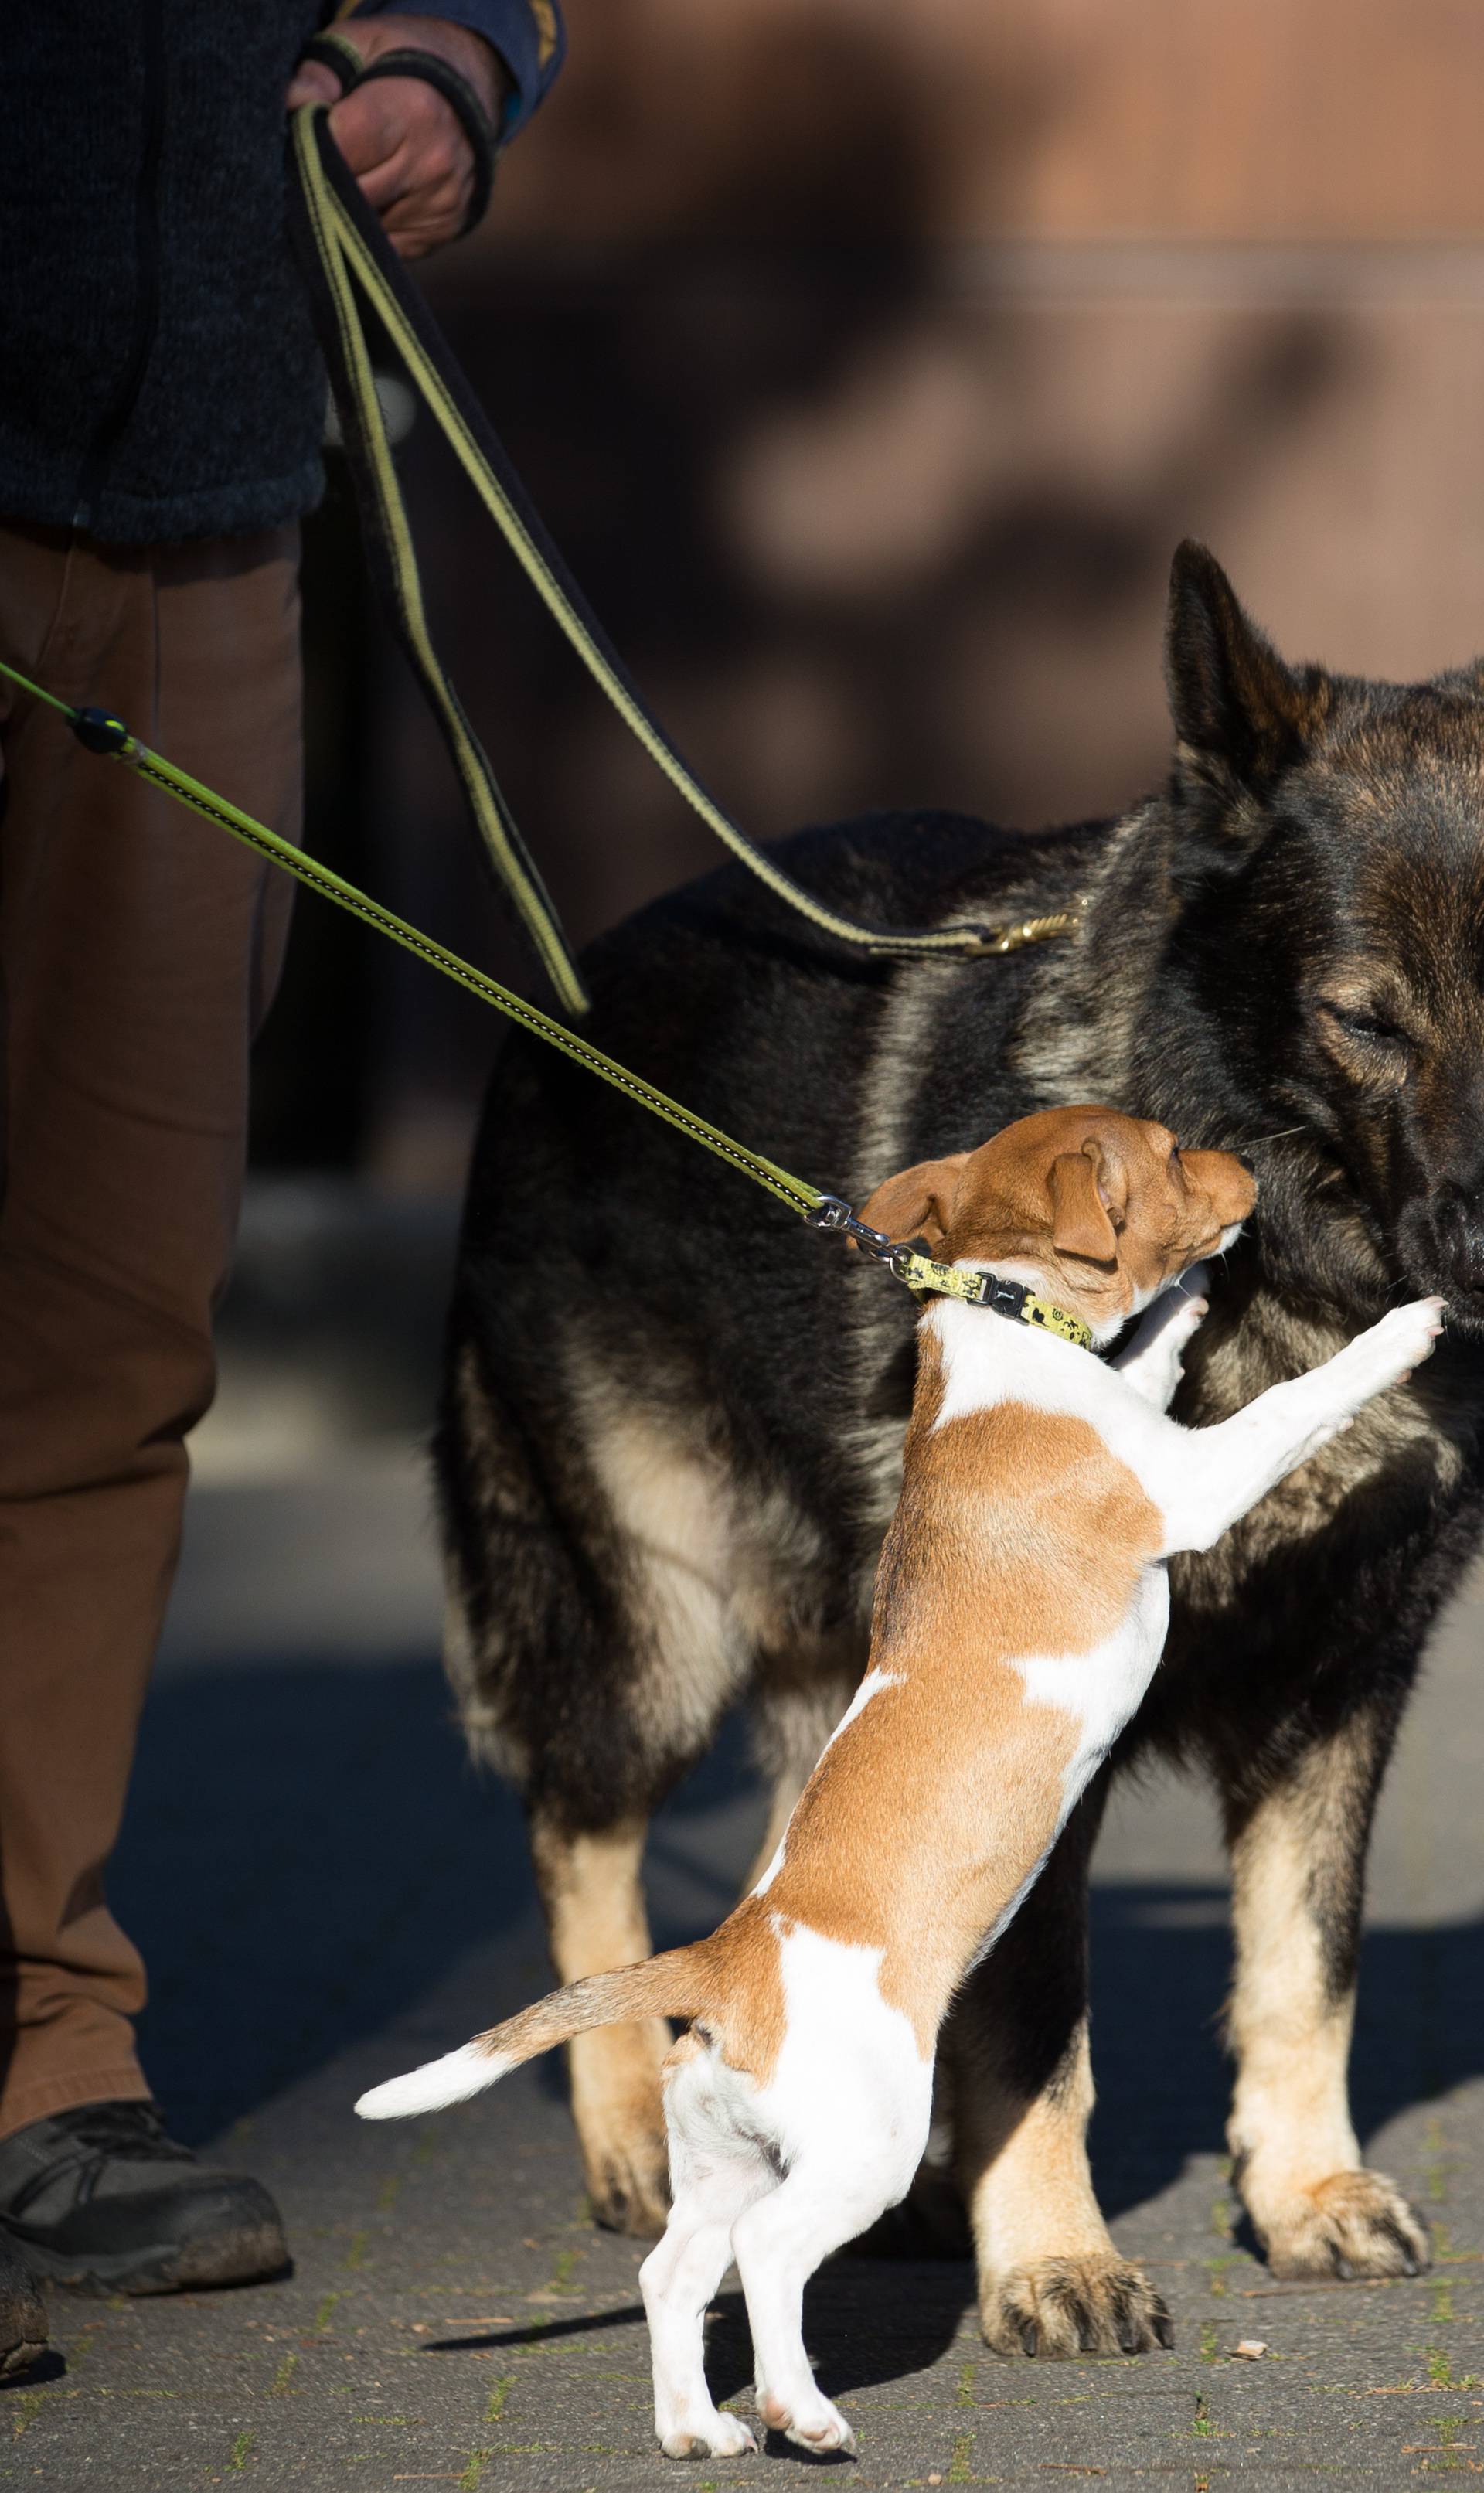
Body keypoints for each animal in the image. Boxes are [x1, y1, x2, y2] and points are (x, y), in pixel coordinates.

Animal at [431, 540, 1484, 2353]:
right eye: (1363, 1020)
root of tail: (559, 1000)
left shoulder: (1344, 1679)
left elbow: (1308, 1960)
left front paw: (1300, 2191)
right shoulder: (1060, 1743)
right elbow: (1042, 2027)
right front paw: (1054, 2255)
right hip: (654, 1622)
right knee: (589, 1834)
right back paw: (636, 2125)